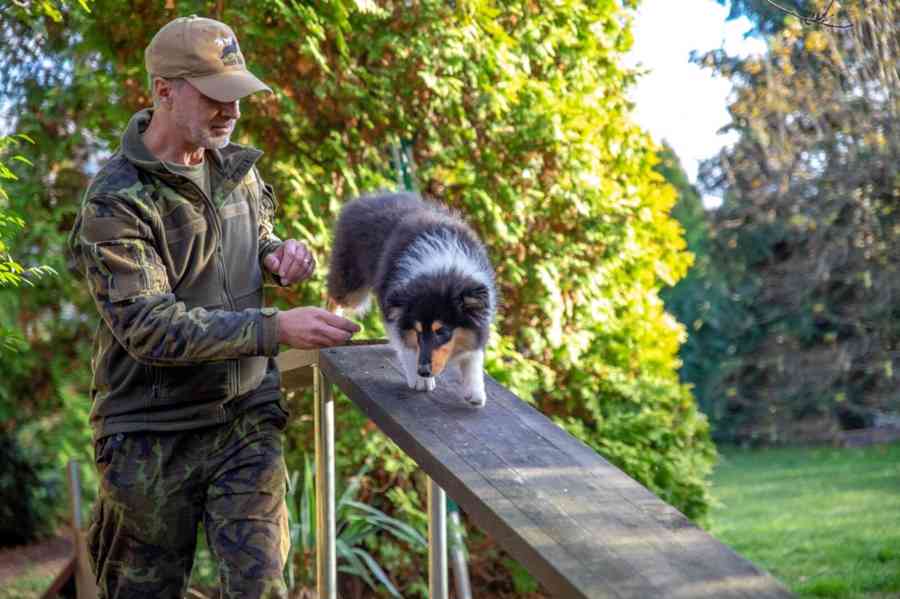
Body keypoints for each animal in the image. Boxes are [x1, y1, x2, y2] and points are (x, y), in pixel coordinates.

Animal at [326, 192, 496, 408]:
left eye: (442, 331)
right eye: (417, 331)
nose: (422, 371)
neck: (442, 269)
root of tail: (363, 199)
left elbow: (474, 356)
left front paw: (475, 390)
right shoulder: (392, 307)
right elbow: (406, 345)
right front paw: (420, 380)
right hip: (351, 282)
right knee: (334, 298)